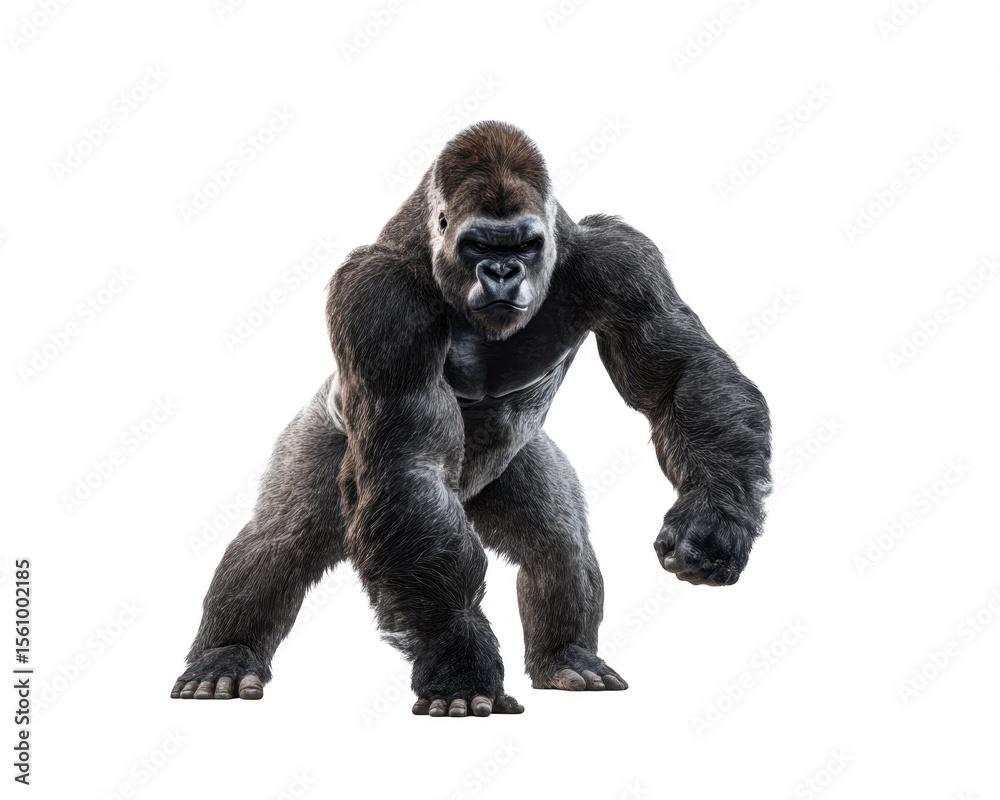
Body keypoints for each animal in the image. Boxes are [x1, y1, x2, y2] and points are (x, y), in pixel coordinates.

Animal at [171, 121, 772, 717]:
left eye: (525, 245)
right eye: (478, 244)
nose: (502, 272)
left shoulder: (623, 261)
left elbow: (680, 377)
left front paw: (716, 519)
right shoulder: (376, 299)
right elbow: (406, 465)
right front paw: (458, 658)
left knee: (558, 542)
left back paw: (567, 656)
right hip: (323, 433)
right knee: (280, 539)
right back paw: (226, 656)